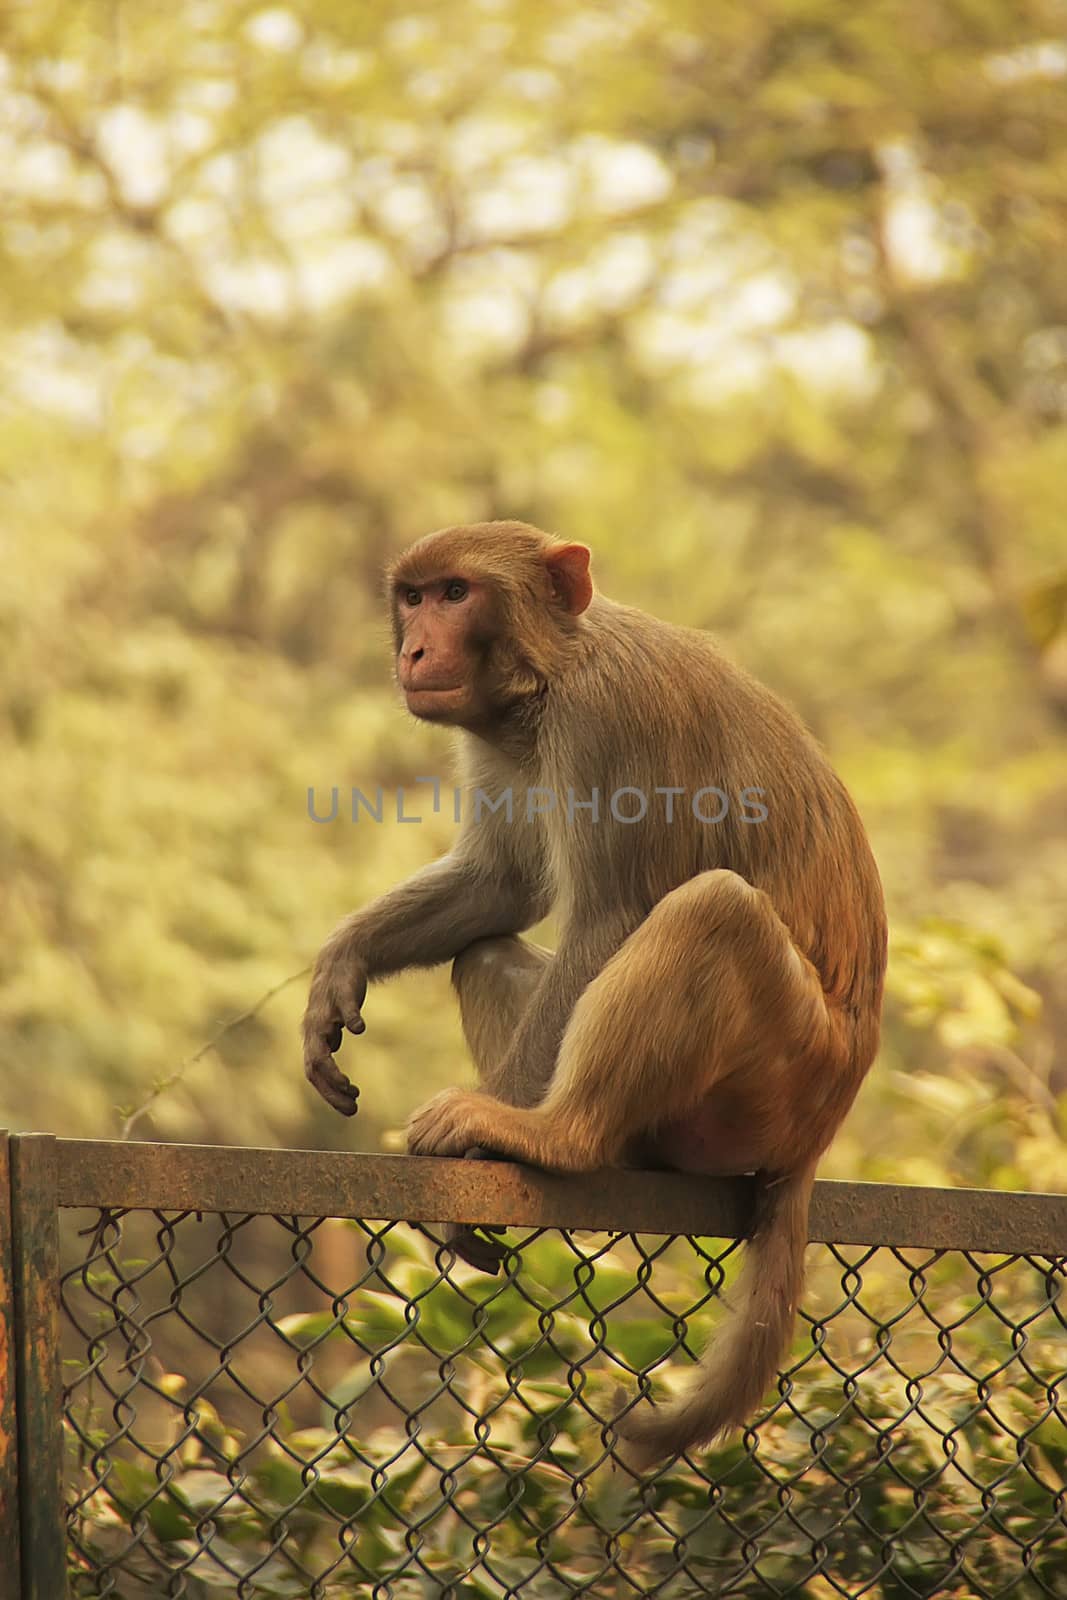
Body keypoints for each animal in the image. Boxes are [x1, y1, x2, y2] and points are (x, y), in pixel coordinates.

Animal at [303, 518, 889, 1465]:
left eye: (457, 593)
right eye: (414, 596)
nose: (416, 648)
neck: (548, 676)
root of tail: (818, 1134)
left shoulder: (607, 722)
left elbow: (610, 917)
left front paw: (485, 1155)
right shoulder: (497, 737)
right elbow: (502, 887)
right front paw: (340, 965)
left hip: (784, 1080)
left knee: (715, 911)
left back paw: (552, 1135)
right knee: (486, 953)